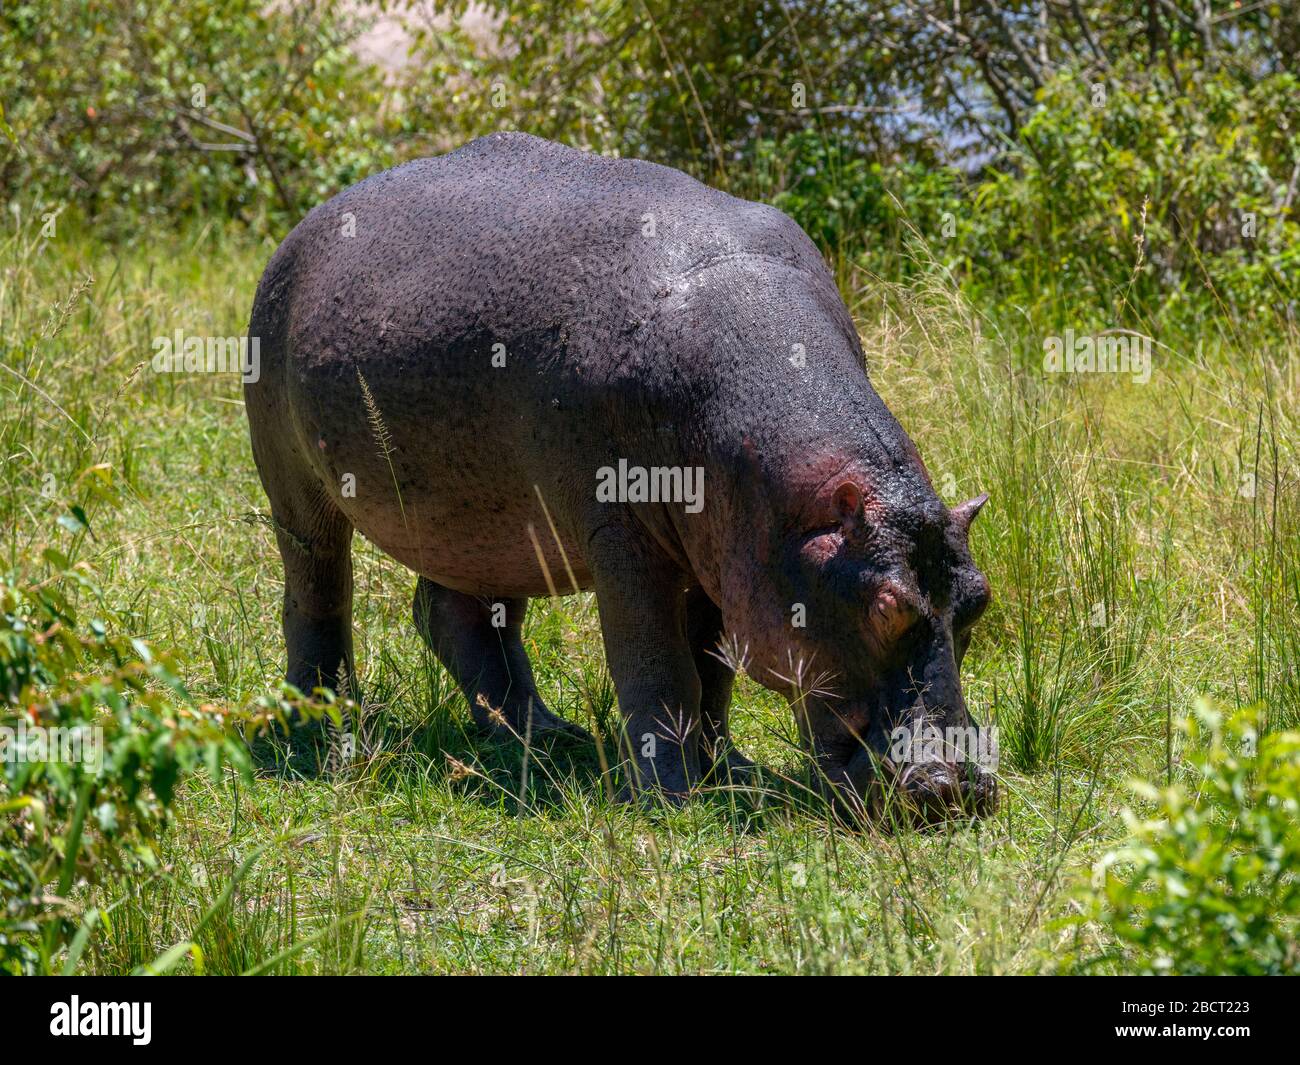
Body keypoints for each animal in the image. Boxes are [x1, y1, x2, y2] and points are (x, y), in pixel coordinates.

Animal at [245, 131, 995, 823]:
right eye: (883, 610)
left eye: (979, 602)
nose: (955, 787)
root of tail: (303, 228)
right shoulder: (625, 536)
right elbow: (656, 664)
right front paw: (674, 800)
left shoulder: (726, 551)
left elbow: (712, 669)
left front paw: (730, 771)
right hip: (295, 485)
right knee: (317, 594)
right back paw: (328, 733)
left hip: (485, 524)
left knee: (458, 617)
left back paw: (547, 738)